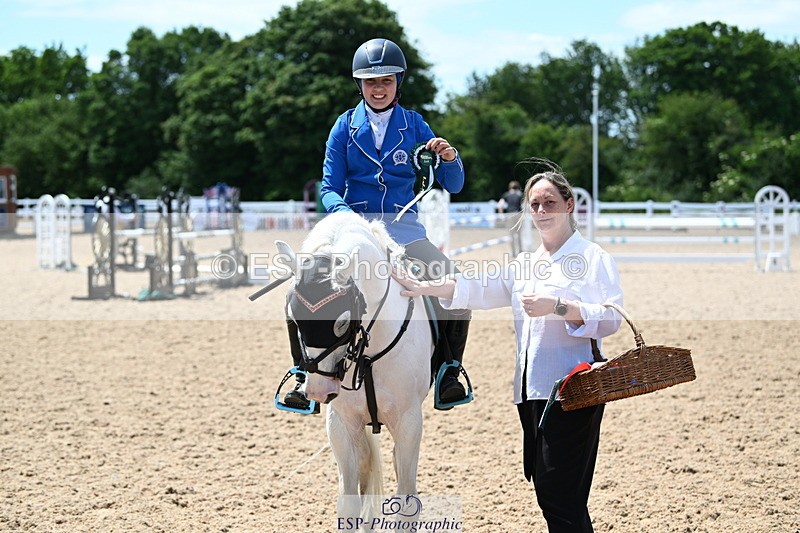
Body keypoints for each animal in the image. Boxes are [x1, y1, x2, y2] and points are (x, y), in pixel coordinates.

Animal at [271, 212, 435, 522]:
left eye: (342, 322)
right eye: (294, 320)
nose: (318, 391)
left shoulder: (409, 421)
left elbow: (407, 500)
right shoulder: (341, 423)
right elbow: (348, 502)